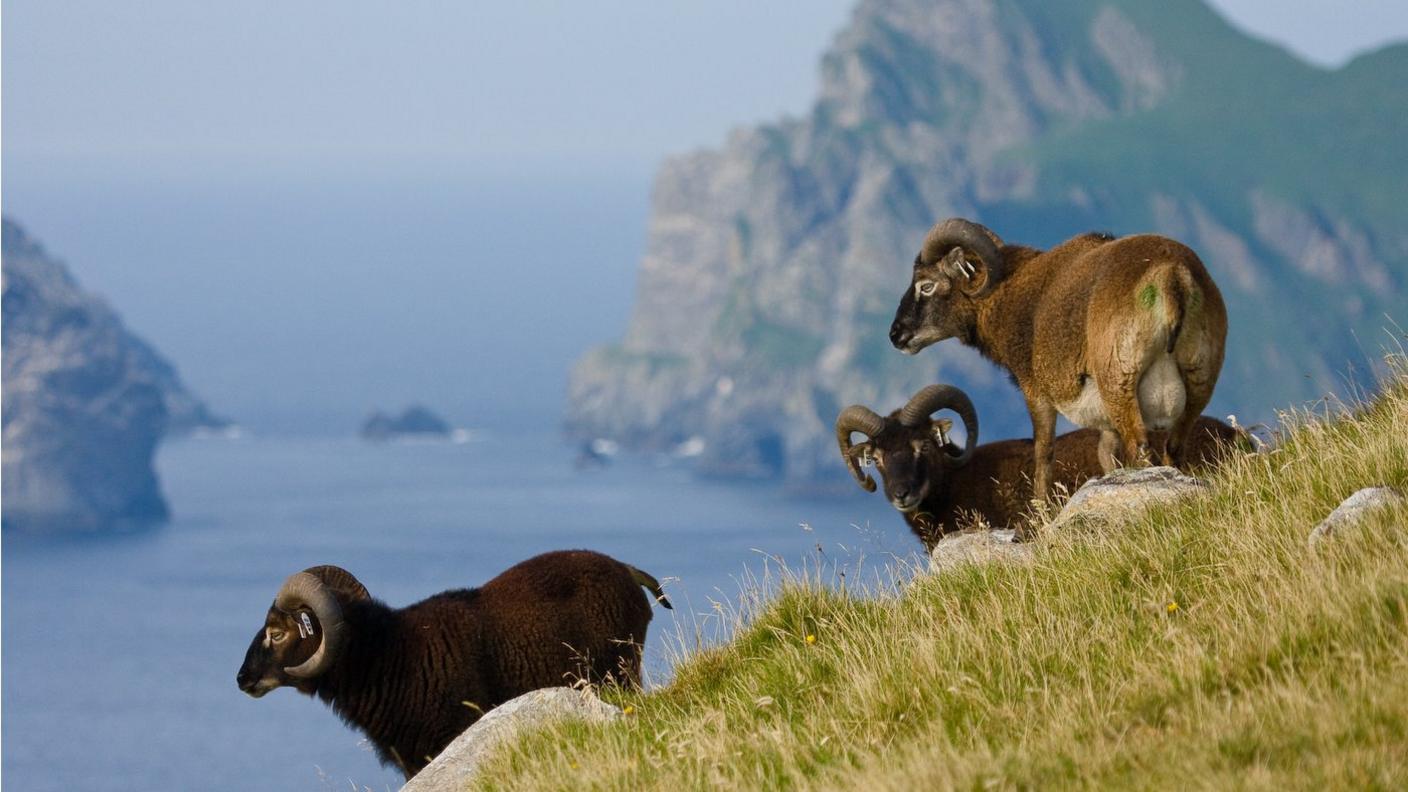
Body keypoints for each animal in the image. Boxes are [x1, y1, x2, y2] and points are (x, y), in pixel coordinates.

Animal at [895, 218, 1227, 496]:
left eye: (926, 285)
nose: (896, 334)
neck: (1010, 297)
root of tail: (1170, 276)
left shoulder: (1036, 392)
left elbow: (1043, 454)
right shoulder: (1106, 423)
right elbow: (1106, 455)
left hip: (1119, 381)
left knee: (1141, 448)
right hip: (1199, 379)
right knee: (1174, 446)